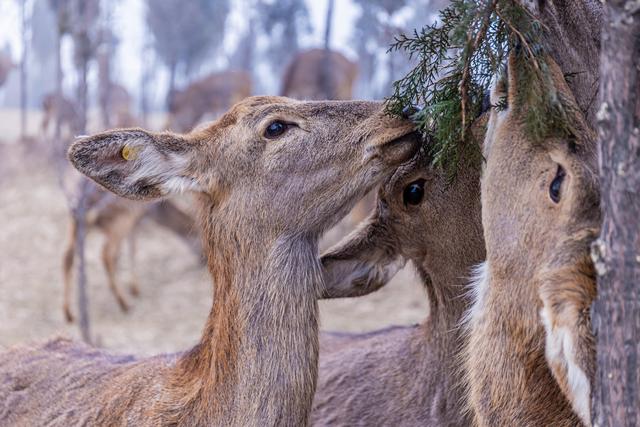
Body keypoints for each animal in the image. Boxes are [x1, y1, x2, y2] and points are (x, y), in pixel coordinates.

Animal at [62, 179, 202, 322]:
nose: (203, 261)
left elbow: (121, 253)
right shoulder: (134, 218)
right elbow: (132, 249)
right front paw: (135, 289)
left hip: (75, 221)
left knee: (67, 254)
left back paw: (69, 314)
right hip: (119, 221)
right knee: (106, 253)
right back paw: (124, 303)